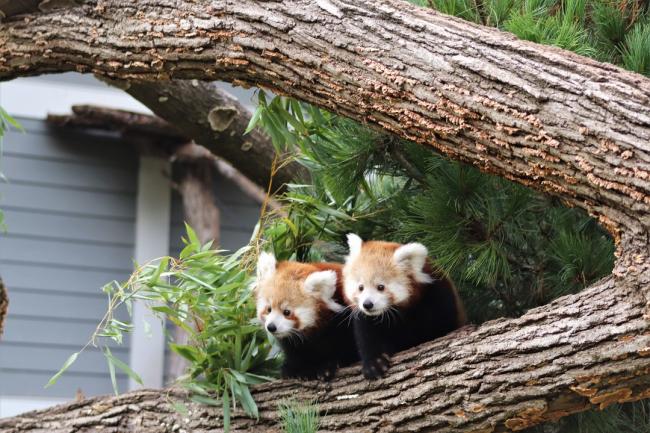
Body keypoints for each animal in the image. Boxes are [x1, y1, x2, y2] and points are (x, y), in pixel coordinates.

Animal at [342, 233, 464, 378]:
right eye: (361, 287)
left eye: (380, 287)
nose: (367, 304)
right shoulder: (365, 317)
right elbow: (367, 335)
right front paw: (374, 363)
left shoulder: (438, 296)